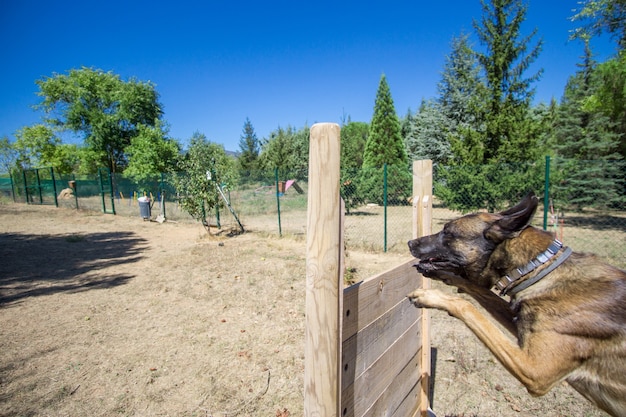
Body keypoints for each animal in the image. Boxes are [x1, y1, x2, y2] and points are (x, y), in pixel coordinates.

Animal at [408, 193, 620, 416]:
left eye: (448, 233)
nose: (410, 242)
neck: (536, 267)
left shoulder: (536, 371)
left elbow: (469, 308)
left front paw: (431, 296)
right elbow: (479, 292)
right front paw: (443, 276)